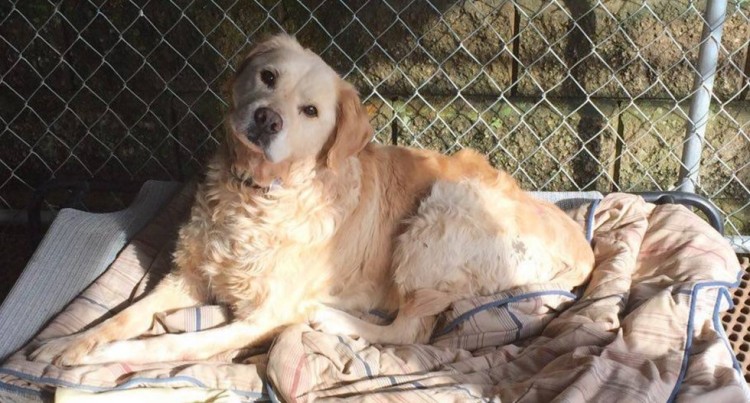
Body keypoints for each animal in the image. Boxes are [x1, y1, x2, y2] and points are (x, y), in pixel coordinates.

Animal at [32, 33, 596, 364]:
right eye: (267, 77)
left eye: (310, 111)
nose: (266, 119)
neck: (257, 195)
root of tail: (585, 246)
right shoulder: (187, 276)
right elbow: (123, 316)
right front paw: (67, 341)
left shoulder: (261, 317)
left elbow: (170, 340)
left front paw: (103, 357)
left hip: (440, 213)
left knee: (410, 330)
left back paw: (332, 317)